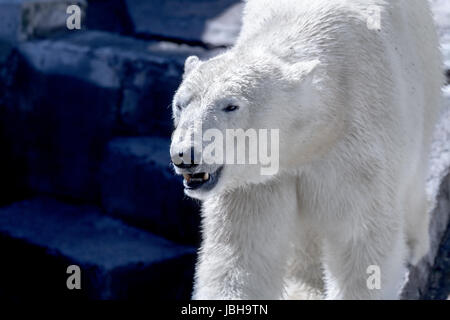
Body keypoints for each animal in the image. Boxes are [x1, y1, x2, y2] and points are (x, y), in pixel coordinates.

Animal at [169, 0, 442, 300]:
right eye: (180, 104)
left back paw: (415, 244)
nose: (184, 155)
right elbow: (242, 254)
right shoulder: (255, 183)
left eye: (231, 106)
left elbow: (361, 245)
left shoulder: (356, 154)